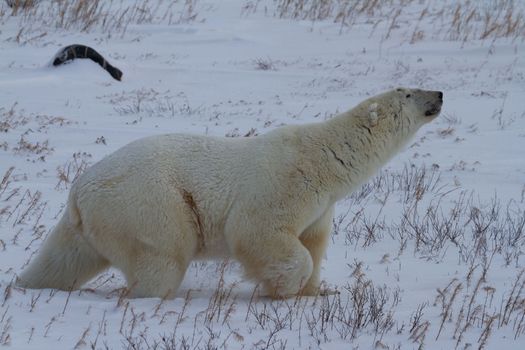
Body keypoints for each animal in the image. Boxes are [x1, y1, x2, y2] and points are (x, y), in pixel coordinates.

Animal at [16, 87, 442, 298]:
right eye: (407, 92)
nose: (438, 94)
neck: (322, 155)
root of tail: (79, 191)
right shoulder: (285, 182)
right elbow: (258, 231)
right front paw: (282, 288)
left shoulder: (321, 206)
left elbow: (314, 244)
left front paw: (317, 293)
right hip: (147, 205)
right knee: (163, 257)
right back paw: (155, 295)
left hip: (93, 221)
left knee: (63, 258)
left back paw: (26, 284)